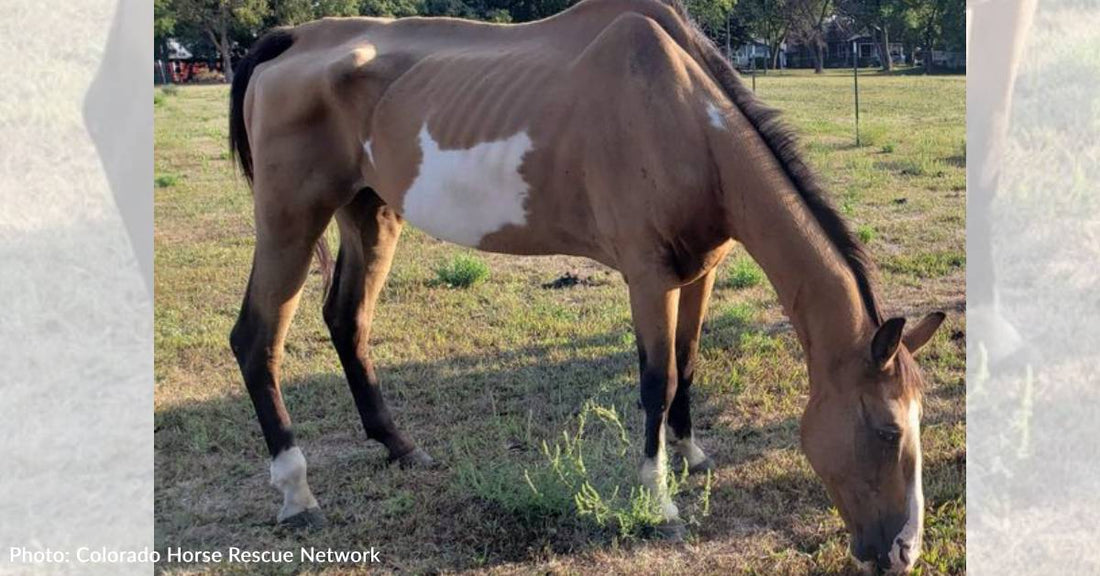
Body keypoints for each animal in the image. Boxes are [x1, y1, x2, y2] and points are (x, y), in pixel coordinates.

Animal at [225, 0, 946, 571]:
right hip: (290, 221)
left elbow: (688, 363)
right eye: (887, 431)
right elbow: (657, 380)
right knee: (256, 339)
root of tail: (294, 39)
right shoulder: (648, 276)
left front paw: (691, 454)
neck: (683, 115)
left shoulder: (701, 270)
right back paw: (297, 493)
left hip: (369, 212)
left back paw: (399, 447)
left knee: (348, 321)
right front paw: (658, 499)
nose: (903, 552)